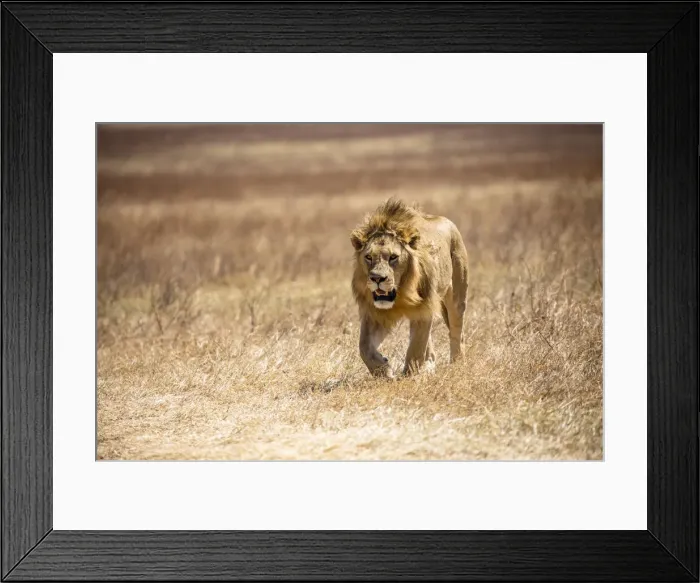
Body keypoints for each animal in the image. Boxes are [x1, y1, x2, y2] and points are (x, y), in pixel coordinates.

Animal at [350, 198, 468, 377]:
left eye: (393, 257)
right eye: (369, 257)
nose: (377, 278)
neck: (401, 293)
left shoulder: (424, 307)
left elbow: (416, 348)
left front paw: (408, 376)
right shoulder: (375, 313)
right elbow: (364, 347)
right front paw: (384, 371)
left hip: (456, 296)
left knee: (456, 332)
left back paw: (457, 364)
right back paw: (429, 367)